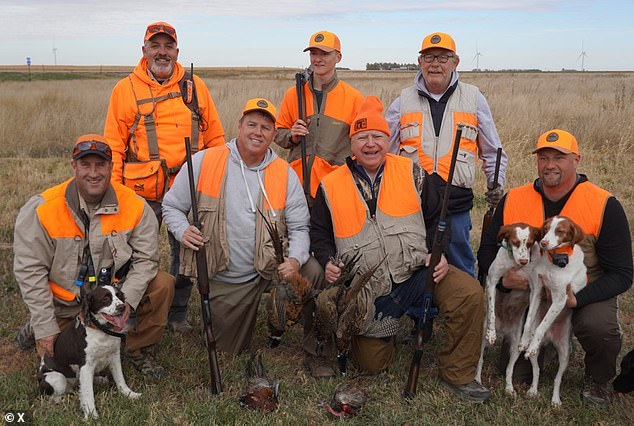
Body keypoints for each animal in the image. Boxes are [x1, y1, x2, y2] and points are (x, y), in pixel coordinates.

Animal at [39, 284, 140, 418]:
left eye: (119, 296)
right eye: (105, 298)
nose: (122, 307)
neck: (101, 331)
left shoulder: (114, 356)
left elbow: (120, 379)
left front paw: (130, 394)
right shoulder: (86, 365)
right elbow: (88, 393)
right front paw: (92, 415)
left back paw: (100, 379)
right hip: (57, 378)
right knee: (54, 396)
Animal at [474, 223, 540, 396]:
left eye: (530, 243)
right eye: (515, 242)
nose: (524, 261)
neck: (515, 265)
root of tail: (504, 328)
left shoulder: (536, 291)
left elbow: (530, 318)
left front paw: (525, 340)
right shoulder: (493, 281)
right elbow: (491, 312)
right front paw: (492, 333)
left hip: (514, 345)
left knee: (511, 368)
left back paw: (510, 388)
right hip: (481, 339)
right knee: (480, 360)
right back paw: (477, 380)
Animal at [516, 216, 584, 406]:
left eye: (560, 231)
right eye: (545, 229)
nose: (543, 243)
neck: (553, 263)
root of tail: (550, 338)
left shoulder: (560, 299)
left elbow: (542, 325)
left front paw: (531, 342)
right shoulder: (537, 291)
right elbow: (530, 320)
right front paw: (524, 342)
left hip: (564, 353)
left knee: (557, 379)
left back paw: (555, 399)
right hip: (537, 357)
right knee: (537, 370)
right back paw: (533, 390)